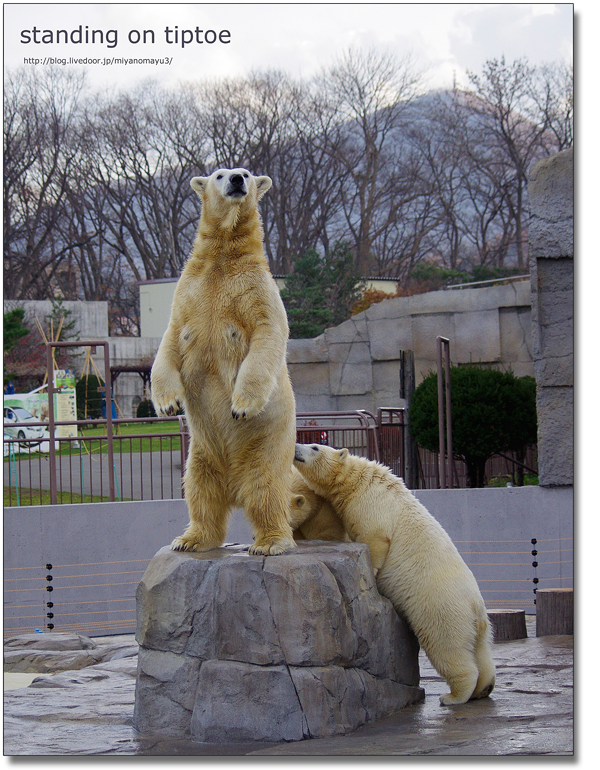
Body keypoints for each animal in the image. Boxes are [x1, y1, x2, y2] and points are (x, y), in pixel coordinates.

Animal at [151, 168, 296, 552]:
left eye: (246, 173)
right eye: (218, 174)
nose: (236, 180)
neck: (223, 256)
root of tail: (234, 486)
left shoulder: (258, 290)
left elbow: (267, 335)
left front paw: (241, 405)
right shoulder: (187, 293)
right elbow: (169, 341)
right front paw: (168, 403)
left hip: (267, 445)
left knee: (265, 489)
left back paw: (270, 541)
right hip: (201, 451)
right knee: (200, 492)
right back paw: (190, 538)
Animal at [292, 440, 494, 704]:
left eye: (315, 447)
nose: (295, 445)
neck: (358, 480)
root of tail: (475, 607)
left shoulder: (373, 504)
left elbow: (375, 538)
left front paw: (372, 575)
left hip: (441, 609)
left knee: (447, 647)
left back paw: (453, 696)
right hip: (478, 624)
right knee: (481, 651)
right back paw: (485, 688)